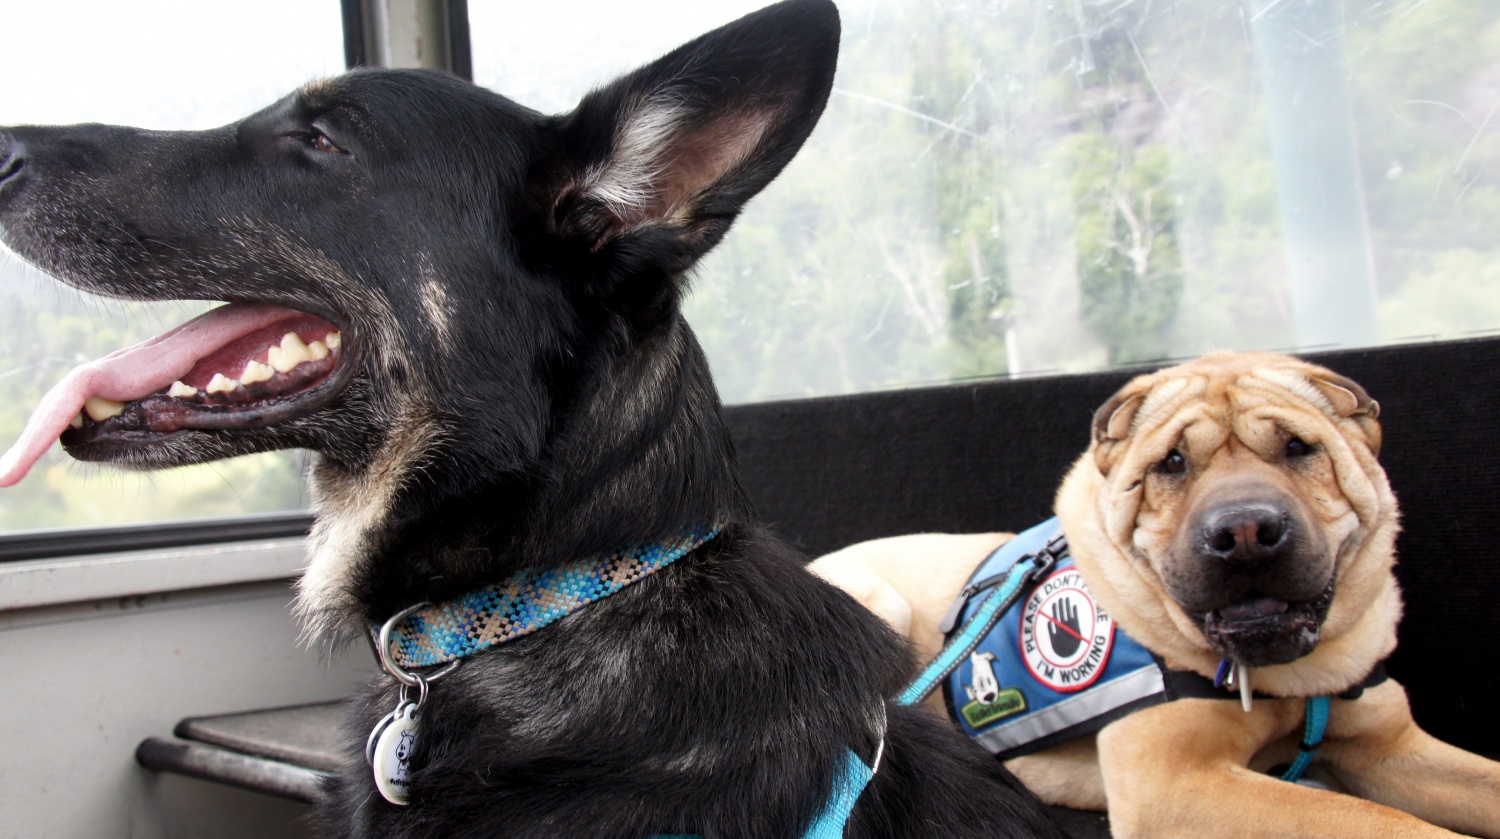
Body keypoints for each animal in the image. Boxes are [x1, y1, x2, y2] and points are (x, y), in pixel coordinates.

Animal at [816, 351, 1500, 834]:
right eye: (1172, 463)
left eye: (1298, 448)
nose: (1244, 533)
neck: (1289, 684)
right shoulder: (1171, 785)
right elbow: (1379, 821)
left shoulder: (1389, 750)